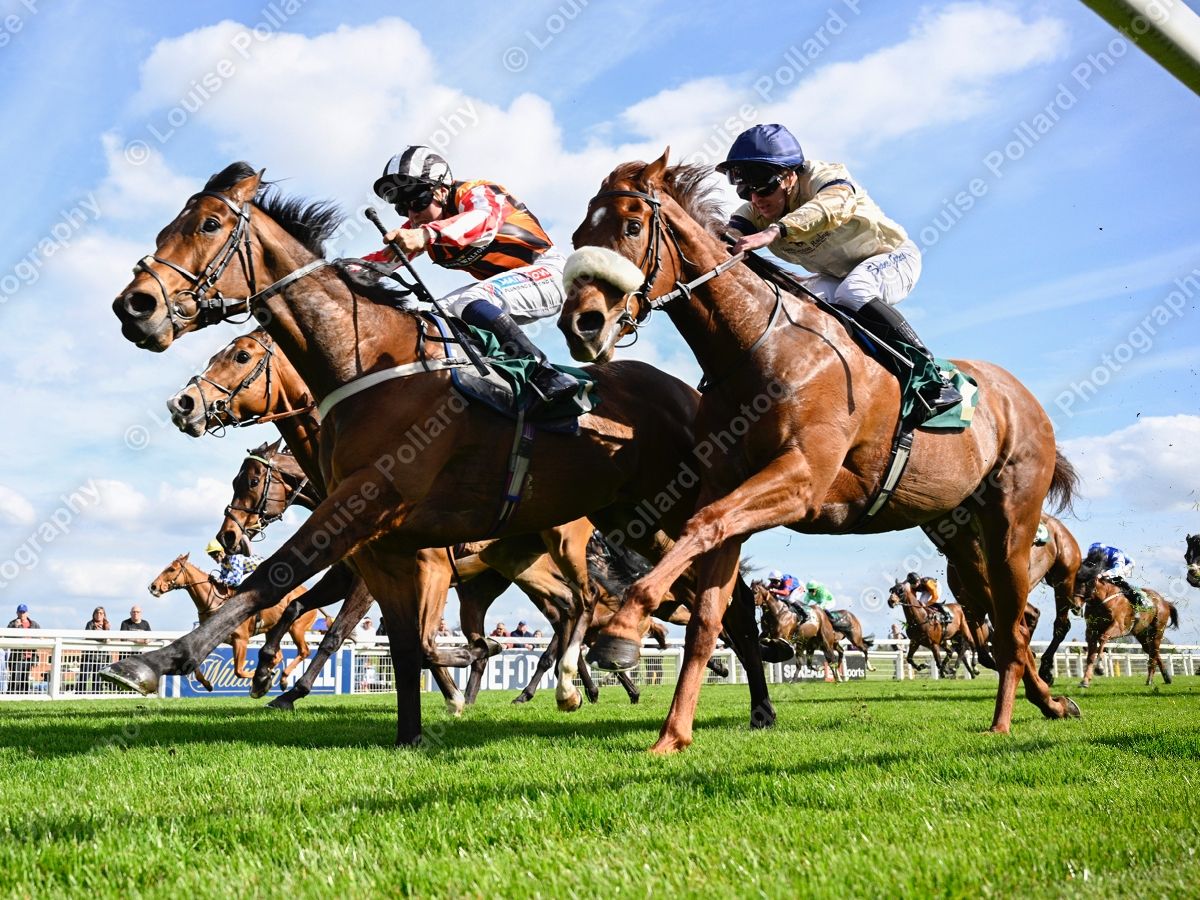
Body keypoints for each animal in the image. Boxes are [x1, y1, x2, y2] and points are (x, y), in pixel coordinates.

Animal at [147, 553, 318, 690]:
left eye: (171, 569)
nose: (153, 586)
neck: (215, 602)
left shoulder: (241, 639)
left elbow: (239, 671)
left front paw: (262, 678)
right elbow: (193, 664)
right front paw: (207, 684)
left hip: (296, 628)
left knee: (304, 651)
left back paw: (282, 678)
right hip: (272, 631)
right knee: (278, 656)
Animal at [560, 152, 1079, 749]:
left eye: (630, 226)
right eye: (578, 235)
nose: (580, 324)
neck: (757, 346)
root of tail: (1022, 398)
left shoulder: (803, 480)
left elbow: (701, 526)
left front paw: (622, 629)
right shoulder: (730, 485)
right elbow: (710, 611)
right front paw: (673, 734)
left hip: (1011, 522)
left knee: (1013, 621)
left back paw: (1004, 719)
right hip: (960, 541)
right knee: (1000, 620)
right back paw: (1052, 702)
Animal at [1074, 547, 1179, 688]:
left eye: (1084, 583)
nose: (1075, 607)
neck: (1102, 599)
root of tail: (1164, 602)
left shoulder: (1119, 627)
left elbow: (1103, 639)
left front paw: (1100, 668)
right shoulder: (1091, 630)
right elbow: (1090, 655)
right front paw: (1085, 681)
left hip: (1157, 631)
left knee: (1154, 652)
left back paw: (1150, 680)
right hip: (1141, 633)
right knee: (1152, 651)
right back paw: (1166, 677)